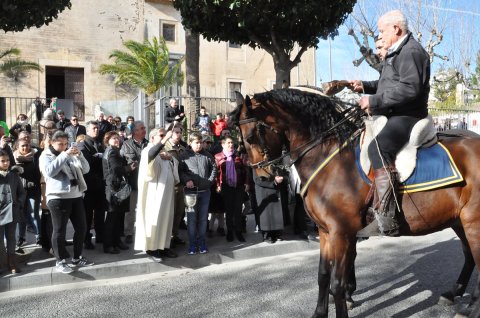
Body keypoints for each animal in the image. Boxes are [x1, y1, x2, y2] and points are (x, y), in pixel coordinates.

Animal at [232, 88, 480, 316]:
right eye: (242, 138)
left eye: (251, 136)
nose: (262, 176)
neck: (329, 157)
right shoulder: (326, 232)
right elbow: (323, 276)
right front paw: (320, 312)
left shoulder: (342, 232)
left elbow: (338, 285)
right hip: (459, 221)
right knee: (469, 256)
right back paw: (454, 293)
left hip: (472, 223)